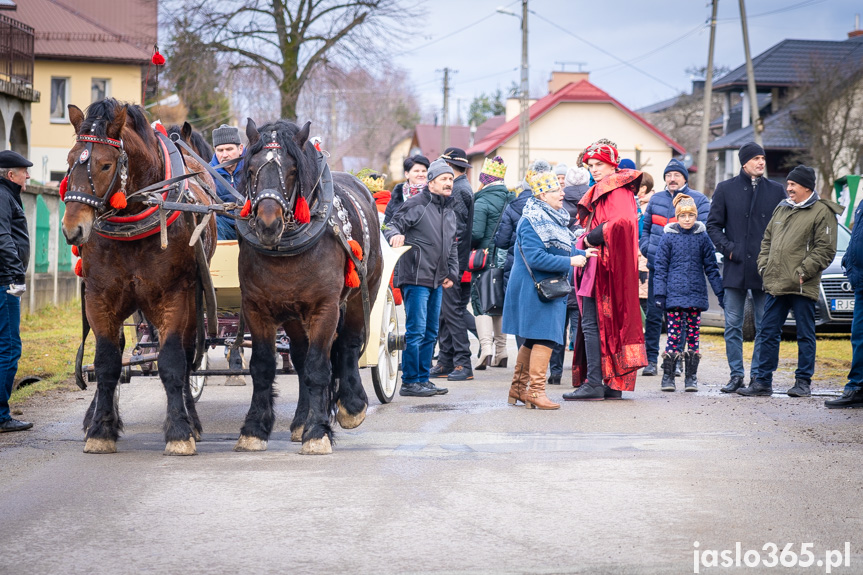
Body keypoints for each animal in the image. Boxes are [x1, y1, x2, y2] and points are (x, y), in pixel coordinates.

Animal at [61, 100, 216, 460]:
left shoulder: (175, 296)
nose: (72, 228)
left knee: (187, 356)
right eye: (70, 160)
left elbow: (173, 362)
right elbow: (106, 362)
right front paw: (101, 430)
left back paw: (191, 419)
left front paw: (180, 431)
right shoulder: (100, 297)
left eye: (105, 165)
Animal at [238, 120, 384, 454]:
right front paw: (254, 429)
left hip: (362, 293)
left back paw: (351, 406)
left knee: (348, 344)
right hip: (293, 314)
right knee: (301, 356)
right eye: (250, 169)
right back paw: (301, 421)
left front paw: (317, 432)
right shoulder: (256, 308)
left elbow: (319, 367)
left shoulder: (325, 308)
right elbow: (263, 366)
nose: (267, 225)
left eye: (292, 171)